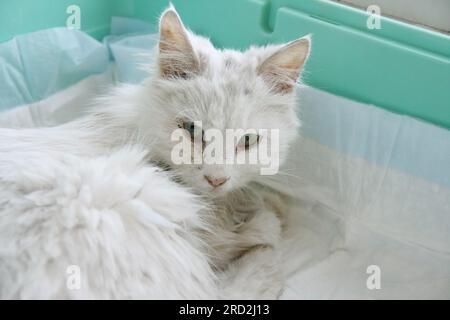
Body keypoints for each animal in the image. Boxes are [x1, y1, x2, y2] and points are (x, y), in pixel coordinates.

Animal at [0, 6, 310, 298]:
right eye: (191, 129)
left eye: (248, 140)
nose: (216, 179)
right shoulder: (202, 228)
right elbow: (236, 234)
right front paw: (266, 218)